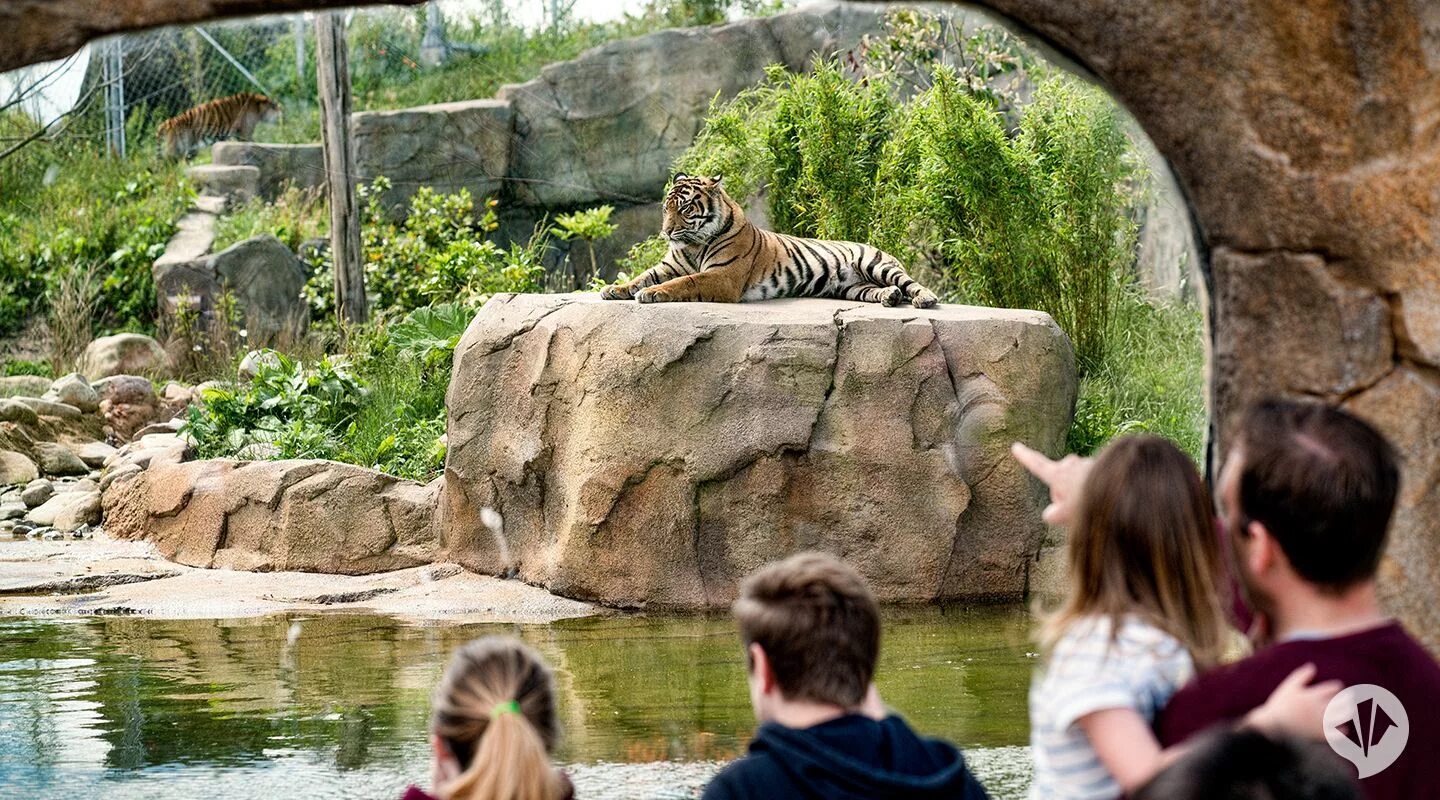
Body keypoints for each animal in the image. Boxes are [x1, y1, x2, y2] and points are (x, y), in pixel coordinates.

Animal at [601, 173, 938, 307]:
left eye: (684, 208)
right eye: (665, 208)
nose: (667, 232)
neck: (694, 243)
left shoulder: (723, 276)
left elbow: (686, 282)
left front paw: (651, 293)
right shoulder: (670, 265)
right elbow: (643, 275)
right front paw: (615, 289)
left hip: (876, 264)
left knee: (911, 283)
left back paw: (924, 298)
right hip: (852, 287)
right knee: (882, 291)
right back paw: (890, 297)